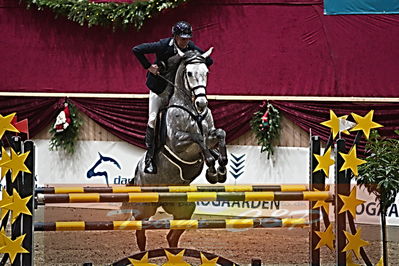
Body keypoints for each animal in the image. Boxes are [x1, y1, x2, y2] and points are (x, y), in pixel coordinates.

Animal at [124, 47, 228, 251]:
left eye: (206, 72)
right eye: (189, 73)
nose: (202, 104)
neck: (193, 110)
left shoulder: (211, 135)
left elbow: (220, 134)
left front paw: (220, 169)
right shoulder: (178, 143)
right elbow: (197, 137)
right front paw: (212, 167)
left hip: (183, 206)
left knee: (174, 231)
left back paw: (173, 250)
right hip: (145, 205)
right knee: (139, 222)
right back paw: (142, 248)